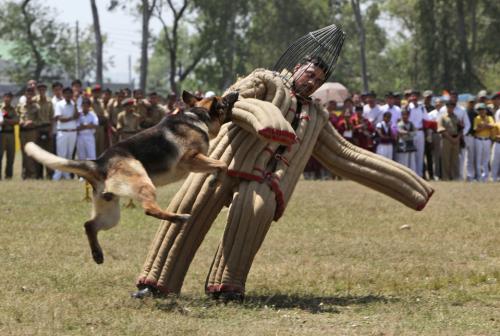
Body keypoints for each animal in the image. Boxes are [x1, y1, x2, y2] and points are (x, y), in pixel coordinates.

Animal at [24, 90, 239, 264]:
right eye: (224, 100)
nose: (235, 92)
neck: (199, 115)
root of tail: (100, 161)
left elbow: (218, 165)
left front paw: (214, 179)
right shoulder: (191, 159)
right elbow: (221, 164)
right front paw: (214, 180)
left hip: (111, 214)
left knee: (89, 225)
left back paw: (97, 254)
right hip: (143, 183)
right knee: (149, 209)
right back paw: (179, 217)